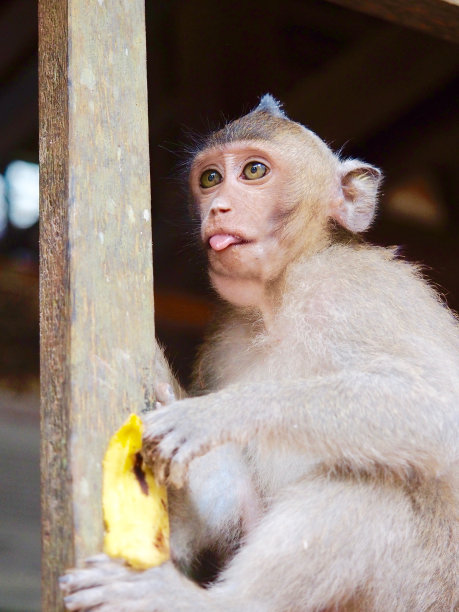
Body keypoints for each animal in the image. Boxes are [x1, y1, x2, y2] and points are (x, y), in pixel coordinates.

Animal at [61, 95, 459, 612]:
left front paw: (211, 414)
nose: (219, 207)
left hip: (424, 586)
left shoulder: (353, 293)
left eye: (254, 171)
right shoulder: (224, 336)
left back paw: (207, 602)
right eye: (211, 178)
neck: (279, 298)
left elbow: (438, 406)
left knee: (371, 480)